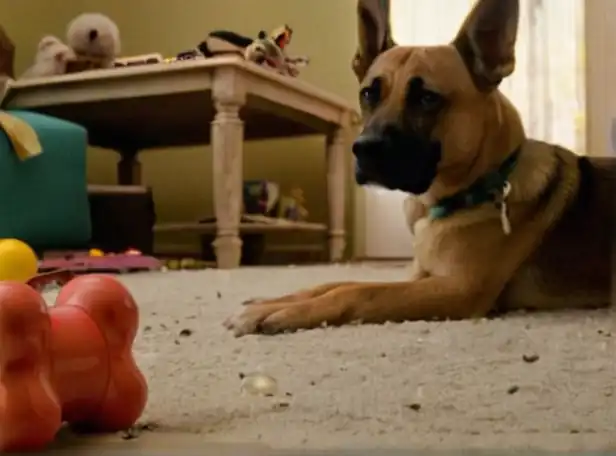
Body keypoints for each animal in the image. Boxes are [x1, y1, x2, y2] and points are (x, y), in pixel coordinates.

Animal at [224, 0, 612, 336]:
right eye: (369, 93)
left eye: (427, 98)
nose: (361, 150)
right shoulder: (420, 278)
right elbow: (338, 281)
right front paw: (273, 301)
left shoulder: (457, 288)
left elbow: (358, 291)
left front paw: (284, 311)